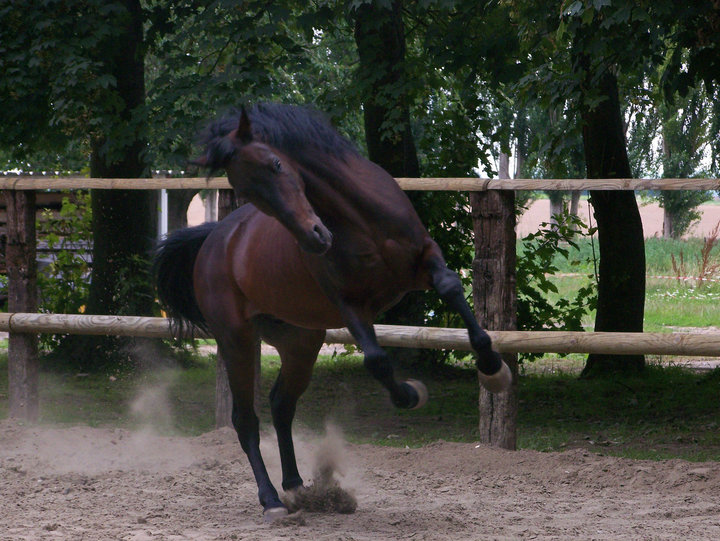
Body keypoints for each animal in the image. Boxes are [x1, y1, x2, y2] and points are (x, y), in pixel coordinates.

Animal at [154, 102, 510, 520]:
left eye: (276, 163)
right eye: (245, 190)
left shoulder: (424, 259)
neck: (359, 218)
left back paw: (297, 487)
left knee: (281, 404)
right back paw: (272, 500)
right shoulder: (350, 304)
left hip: (300, 341)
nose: (315, 238)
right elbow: (376, 360)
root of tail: (214, 240)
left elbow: (452, 288)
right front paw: (411, 394)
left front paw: (493, 369)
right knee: (245, 420)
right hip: (236, 340)